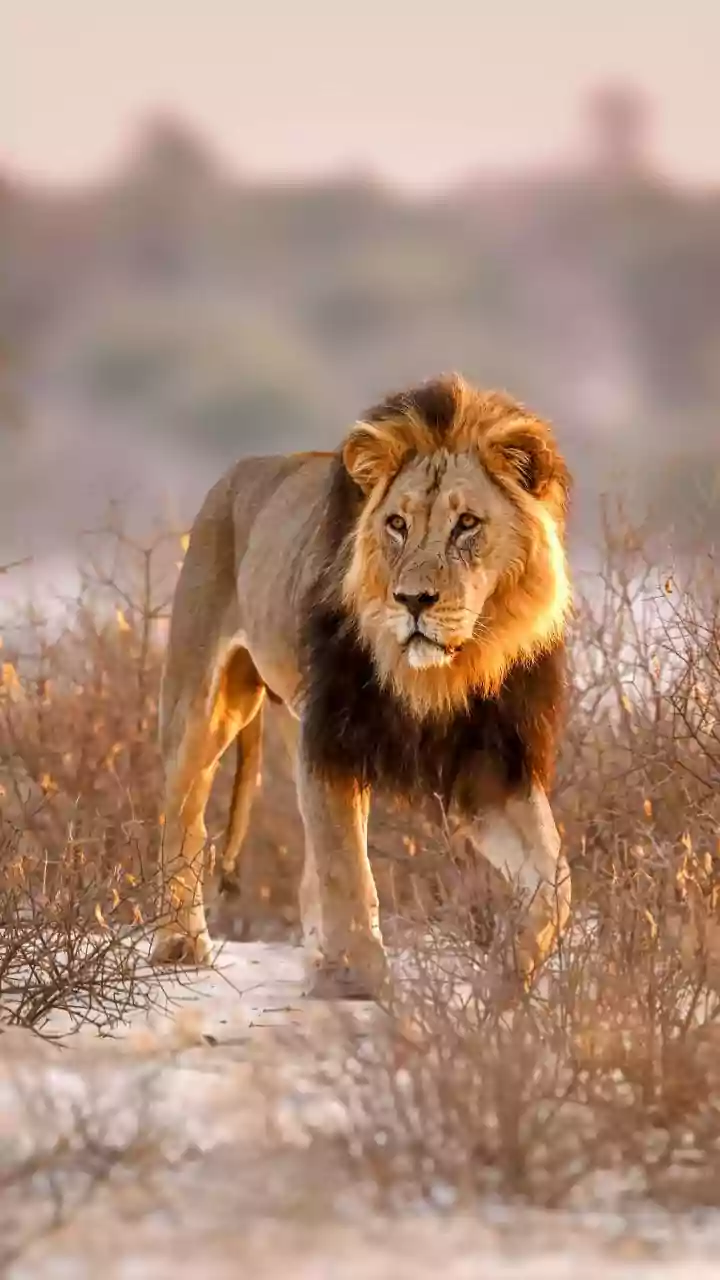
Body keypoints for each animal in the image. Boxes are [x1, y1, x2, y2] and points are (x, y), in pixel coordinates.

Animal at [149, 373, 573, 998]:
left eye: (466, 524)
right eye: (396, 524)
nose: (414, 600)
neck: (443, 671)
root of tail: (240, 469)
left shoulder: (492, 766)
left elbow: (555, 878)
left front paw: (507, 982)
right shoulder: (332, 741)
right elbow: (346, 869)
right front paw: (360, 984)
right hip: (204, 702)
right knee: (182, 814)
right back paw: (180, 943)